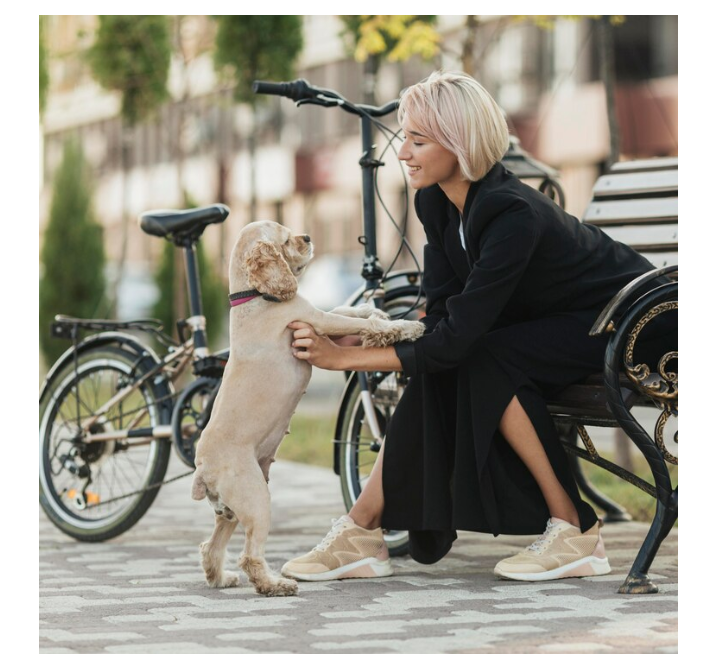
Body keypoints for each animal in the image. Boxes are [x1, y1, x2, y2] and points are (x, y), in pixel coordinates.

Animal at [190, 222, 426, 596]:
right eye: (286, 239)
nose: (308, 237)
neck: (253, 295)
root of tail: (203, 470)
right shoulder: (315, 320)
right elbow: (358, 324)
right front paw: (406, 326)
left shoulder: (316, 315)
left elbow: (350, 311)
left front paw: (376, 310)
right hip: (256, 499)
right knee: (250, 556)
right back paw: (276, 585)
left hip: (230, 510)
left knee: (210, 547)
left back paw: (222, 579)